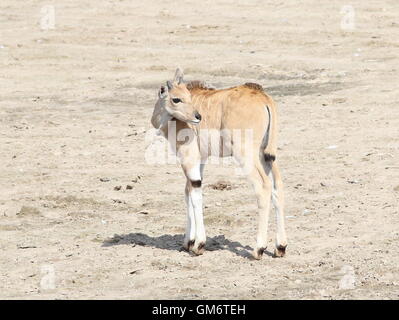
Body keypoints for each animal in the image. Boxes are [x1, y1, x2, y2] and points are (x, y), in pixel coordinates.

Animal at [151, 68, 288, 260]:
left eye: (184, 97)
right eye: (177, 98)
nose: (197, 117)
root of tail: (263, 97)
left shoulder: (188, 157)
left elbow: (194, 193)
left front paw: (198, 245)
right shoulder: (200, 159)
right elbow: (188, 191)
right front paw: (188, 242)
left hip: (246, 155)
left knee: (263, 187)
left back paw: (258, 248)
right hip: (267, 156)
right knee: (277, 187)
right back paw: (280, 246)